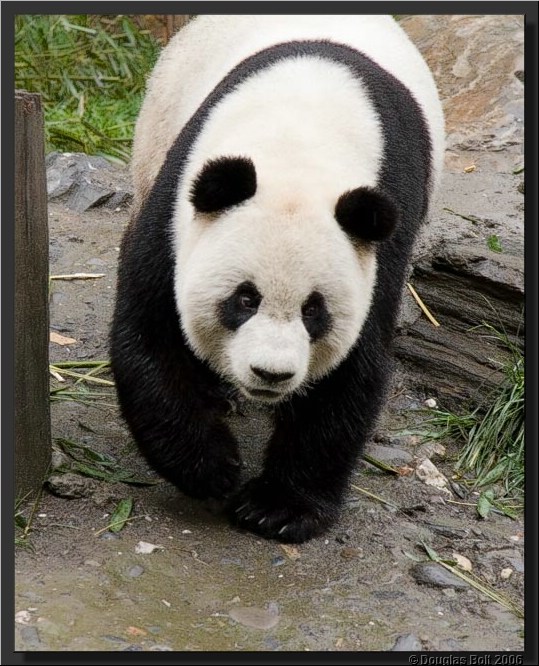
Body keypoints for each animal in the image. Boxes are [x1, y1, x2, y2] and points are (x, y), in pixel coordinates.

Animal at [111, 15, 444, 543]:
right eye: (244, 300)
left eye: (314, 311)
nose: (271, 374)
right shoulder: (178, 200)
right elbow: (152, 331)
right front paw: (211, 468)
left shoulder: (382, 236)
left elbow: (351, 370)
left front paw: (278, 508)